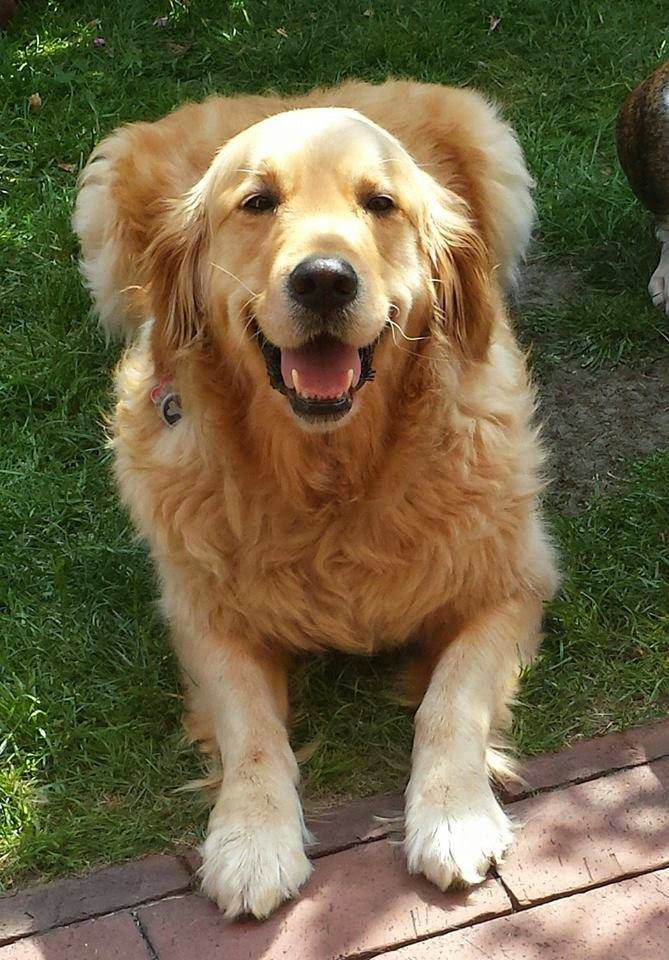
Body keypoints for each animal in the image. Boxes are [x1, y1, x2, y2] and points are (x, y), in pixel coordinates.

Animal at [73, 82, 560, 924]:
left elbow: (452, 699)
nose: (324, 279)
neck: (331, 475)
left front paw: (454, 816)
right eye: (257, 202)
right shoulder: (203, 617)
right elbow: (250, 728)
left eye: (381, 204)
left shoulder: (512, 583)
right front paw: (250, 839)